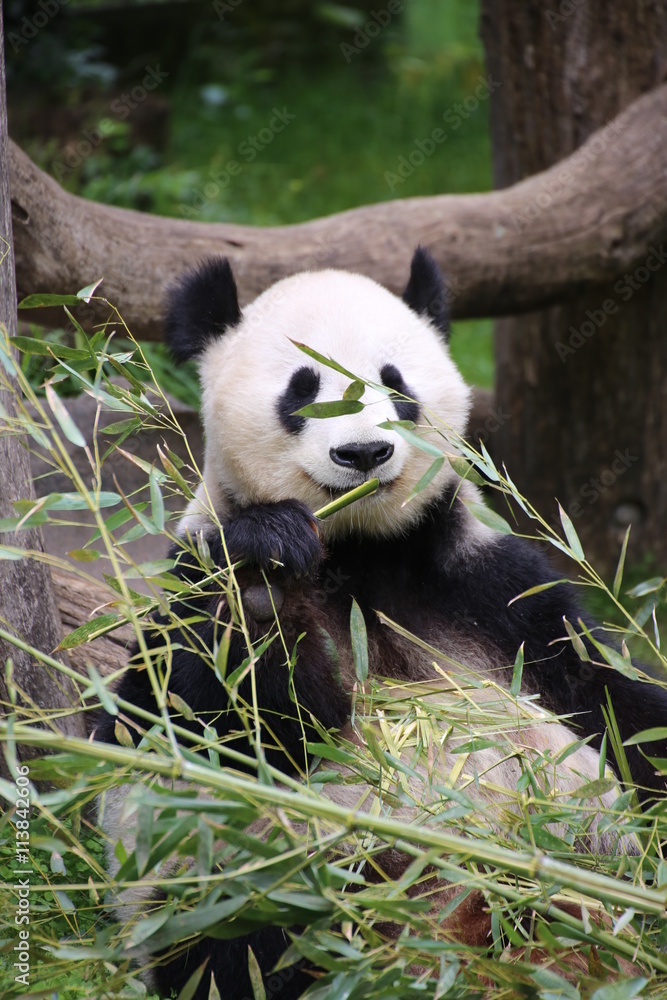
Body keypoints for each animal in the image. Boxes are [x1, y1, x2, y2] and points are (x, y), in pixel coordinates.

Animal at [96, 247, 666, 999]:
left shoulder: (492, 589)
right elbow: (195, 724)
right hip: (253, 881)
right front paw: (264, 573)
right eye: (302, 390)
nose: (363, 454)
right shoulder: (193, 574)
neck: (359, 549)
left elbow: (614, 705)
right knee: (239, 926)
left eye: (394, 385)